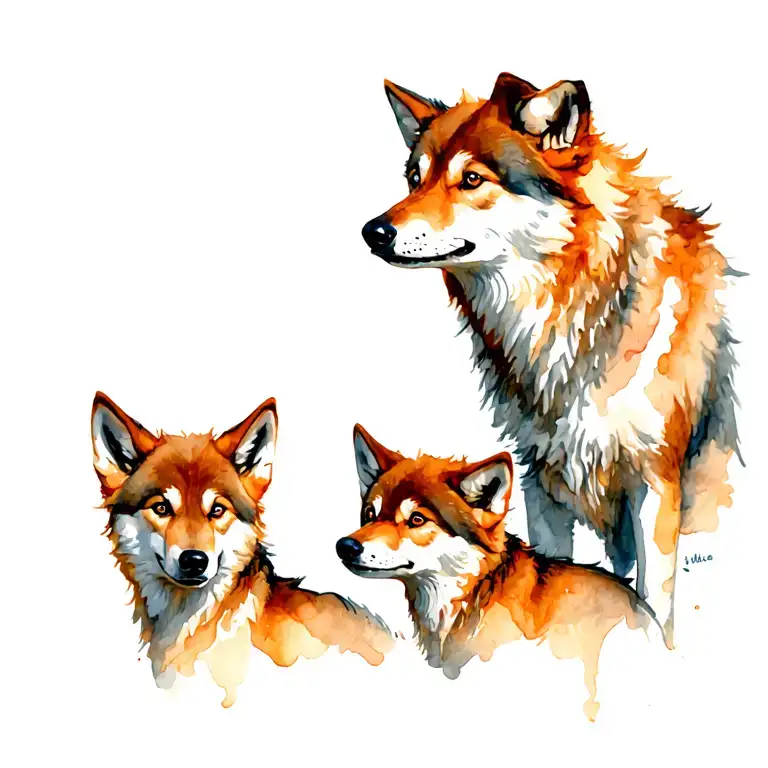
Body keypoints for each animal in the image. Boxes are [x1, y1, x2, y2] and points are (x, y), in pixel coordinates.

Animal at [361, 72, 742, 645]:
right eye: (414, 178)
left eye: (471, 179)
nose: (374, 231)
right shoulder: (540, 477)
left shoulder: (655, 483)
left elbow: (655, 605)